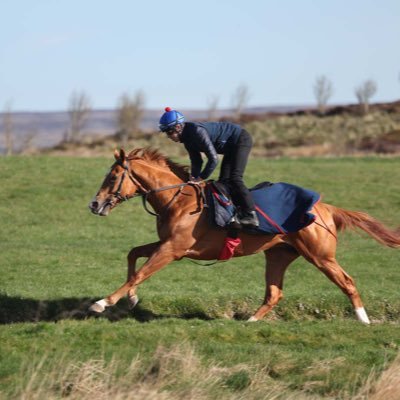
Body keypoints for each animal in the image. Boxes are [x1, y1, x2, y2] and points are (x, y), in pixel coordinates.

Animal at [88, 148, 400, 324]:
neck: (178, 200)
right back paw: (251, 320)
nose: (94, 204)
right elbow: (133, 254)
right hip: (278, 254)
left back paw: (363, 320)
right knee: (274, 292)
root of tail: (327, 207)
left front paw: (104, 302)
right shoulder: (168, 244)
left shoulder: (172, 249)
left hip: (320, 256)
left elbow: (141, 272)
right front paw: (131, 299)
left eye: (113, 176)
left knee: (347, 282)